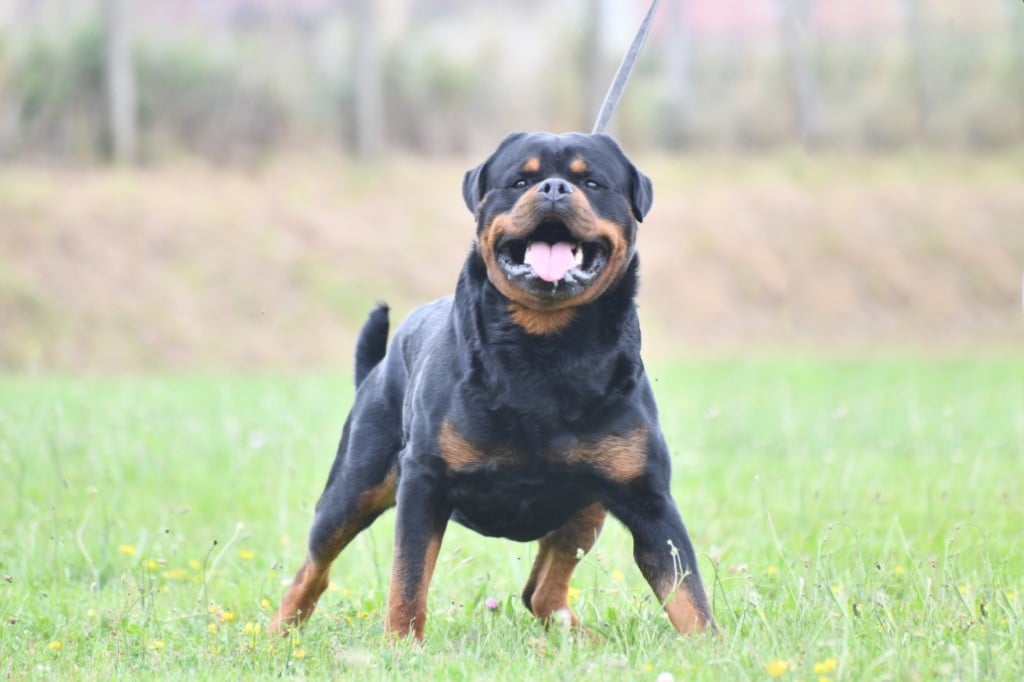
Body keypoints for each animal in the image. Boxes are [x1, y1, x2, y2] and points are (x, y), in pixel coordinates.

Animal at [272, 131, 720, 638]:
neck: (546, 348)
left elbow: (688, 594)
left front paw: (710, 648)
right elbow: (408, 580)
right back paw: (278, 632)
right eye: (519, 180)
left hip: (587, 507)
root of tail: (380, 365)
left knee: (540, 591)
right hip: (353, 486)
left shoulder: (647, 498)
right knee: (313, 567)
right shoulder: (424, 481)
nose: (553, 188)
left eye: (591, 181)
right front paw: (402, 644)